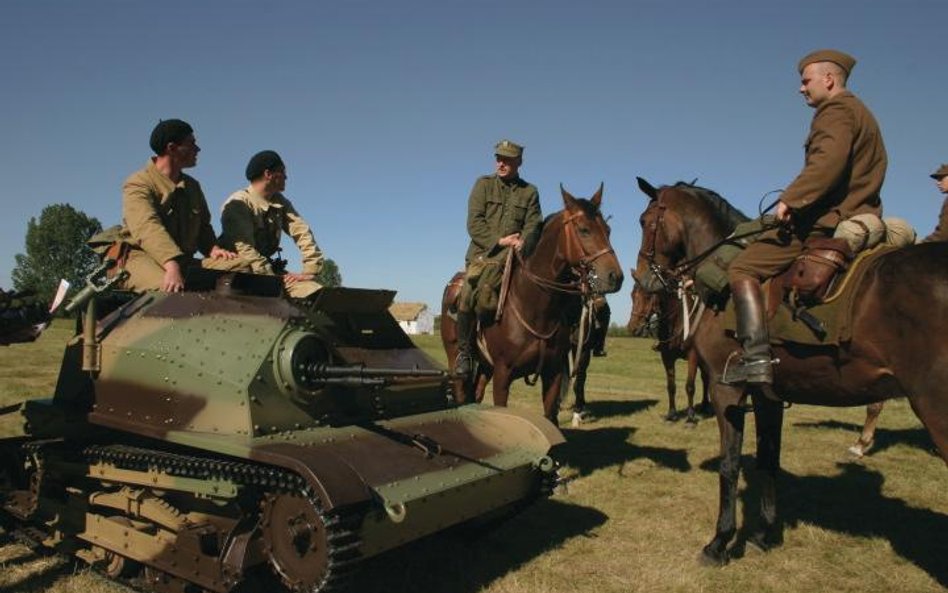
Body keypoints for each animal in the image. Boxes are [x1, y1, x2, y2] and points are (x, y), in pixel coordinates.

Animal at [442, 184, 624, 420]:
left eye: (608, 230)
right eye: (584, 229)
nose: (615, 277)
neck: (535, 309)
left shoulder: (553, 373)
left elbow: (551, 416)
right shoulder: (503, 375)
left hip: (485, 366)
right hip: (457, 361)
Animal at [624, 280, 708, 424]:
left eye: (648, 296)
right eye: (632, 295)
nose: (633, 328)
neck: (677, 320)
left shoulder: (693, 356)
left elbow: (690, 387)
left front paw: (690, 418)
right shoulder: (667, 357)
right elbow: (671, 387)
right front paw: (672, 415)